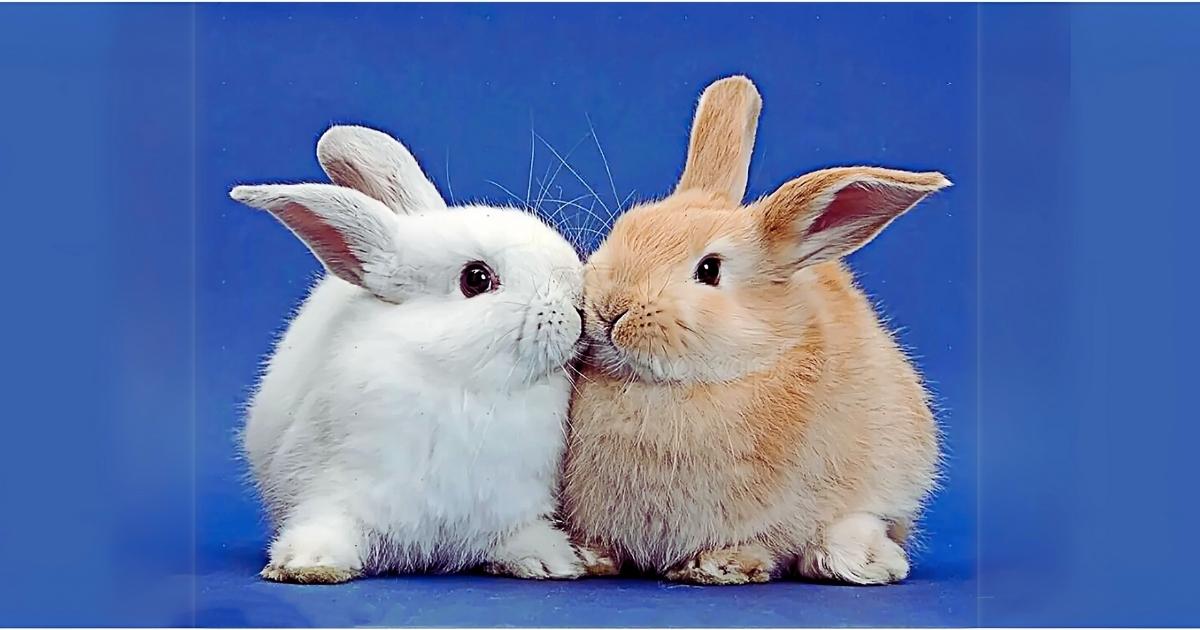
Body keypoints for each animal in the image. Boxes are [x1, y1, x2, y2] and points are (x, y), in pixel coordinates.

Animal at [229, 125, 585, 583]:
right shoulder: (336, 492)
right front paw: (307, 565)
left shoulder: (510, 510)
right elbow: (326, 525)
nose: (579, 306)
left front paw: (552, 561)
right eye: (476, 279)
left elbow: (520, 535)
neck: (464, 385)